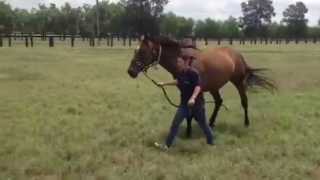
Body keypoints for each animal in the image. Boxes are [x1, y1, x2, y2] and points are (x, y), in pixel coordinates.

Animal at [127, 36, 276, 130]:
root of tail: (237, 54)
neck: (184, 62)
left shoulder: (195, 89)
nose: (130, 71)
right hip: (214, 86)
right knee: (219, 101)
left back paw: (246, 122)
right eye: (136, 50)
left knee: (244, 101)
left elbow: (192, 109)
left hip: (238, 82)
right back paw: (211, 122)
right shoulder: (184, 90)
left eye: (142, 51)